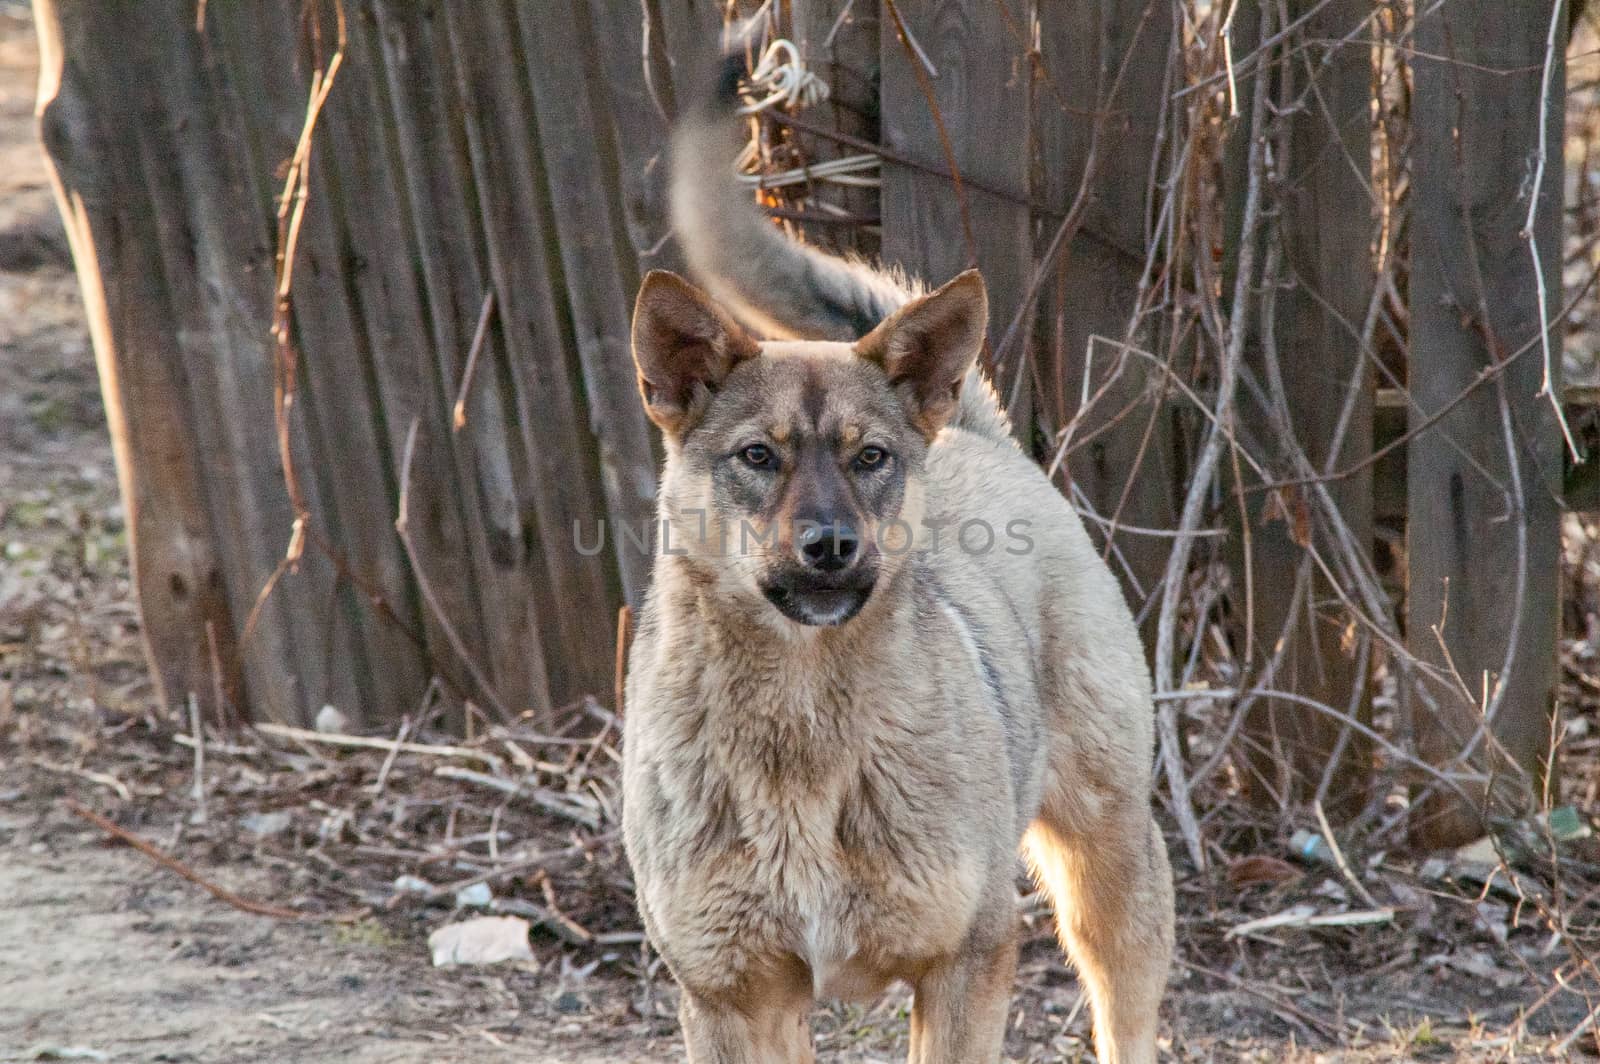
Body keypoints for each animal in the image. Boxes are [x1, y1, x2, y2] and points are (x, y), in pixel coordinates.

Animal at [620, 56, 1177, 1062]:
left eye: (870, 456)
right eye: (757, 456)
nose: (831, 548)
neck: (801, 734)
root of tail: (969, 430)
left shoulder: (967, 960)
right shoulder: (735, 995)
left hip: (1105, 870)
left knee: (1126, 1011)